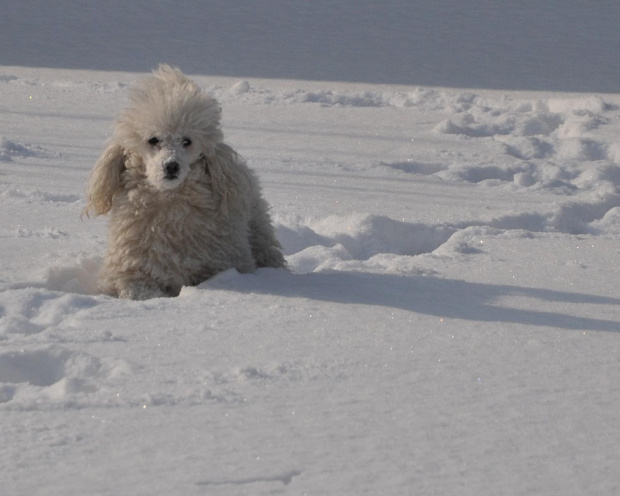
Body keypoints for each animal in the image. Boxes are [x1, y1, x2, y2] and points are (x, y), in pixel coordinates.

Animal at [83, 64, 286, 300]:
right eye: (153, 140)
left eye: (187, 141)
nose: (171, 166)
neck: (171, 207)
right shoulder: (128, 271)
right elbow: (137, 288)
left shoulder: (222, 263)